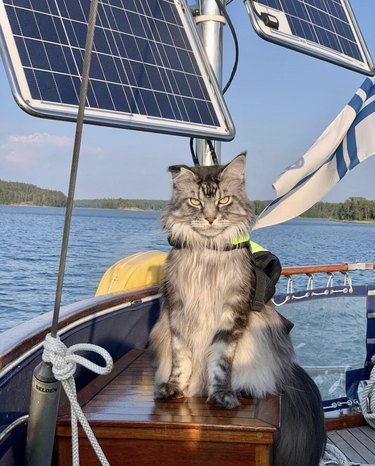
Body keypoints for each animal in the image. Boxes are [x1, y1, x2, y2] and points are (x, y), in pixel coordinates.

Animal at [150, 154, 326, 466]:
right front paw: (175, 388)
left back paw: (243, 388)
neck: (208, 251)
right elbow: (181, 359)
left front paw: (221, 396)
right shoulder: (178, 313)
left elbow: (220, 363)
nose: (210, 217)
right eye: (195, 201)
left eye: (224, 200)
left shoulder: (232, 315)